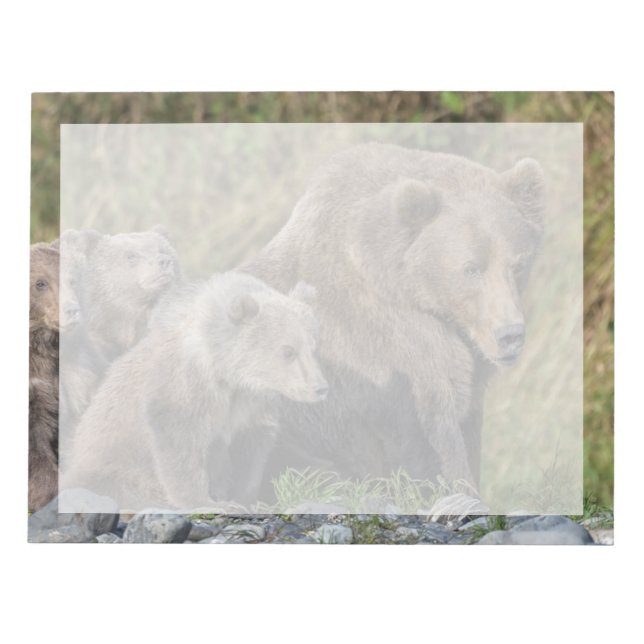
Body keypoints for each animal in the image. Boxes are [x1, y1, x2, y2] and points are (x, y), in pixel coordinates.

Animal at [60, 272, 328, 512]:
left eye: (313, 345)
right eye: (288, 350)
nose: (320, 387)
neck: (228, 372)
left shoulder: (251, 406)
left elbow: (249, 452)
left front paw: (243, 498)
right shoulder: (186, 387)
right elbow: (180, 442)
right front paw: (207, 501)